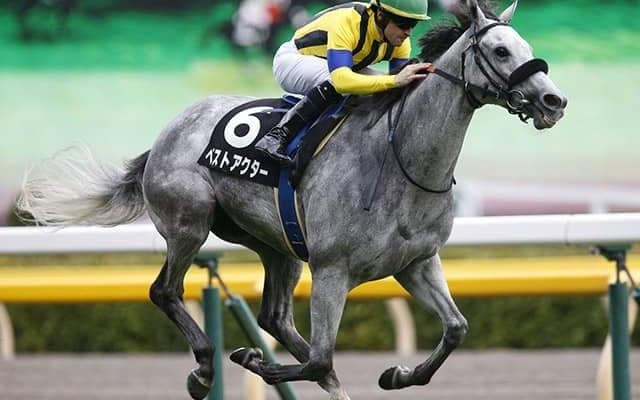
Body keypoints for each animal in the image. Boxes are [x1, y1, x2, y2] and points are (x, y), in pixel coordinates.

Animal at [17, 0, 567, 399]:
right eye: (500, 51)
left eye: (525, 46)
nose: (553, 101)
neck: (400, 161)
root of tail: (166, 134)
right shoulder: (332, 269)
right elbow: (323, 356)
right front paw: (249, 359)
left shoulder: (417, 262)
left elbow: (456, 329)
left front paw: (396, 375)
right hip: (190, 223)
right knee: (165, 292)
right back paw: (204, 368)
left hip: (278, 246)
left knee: (274, 318)